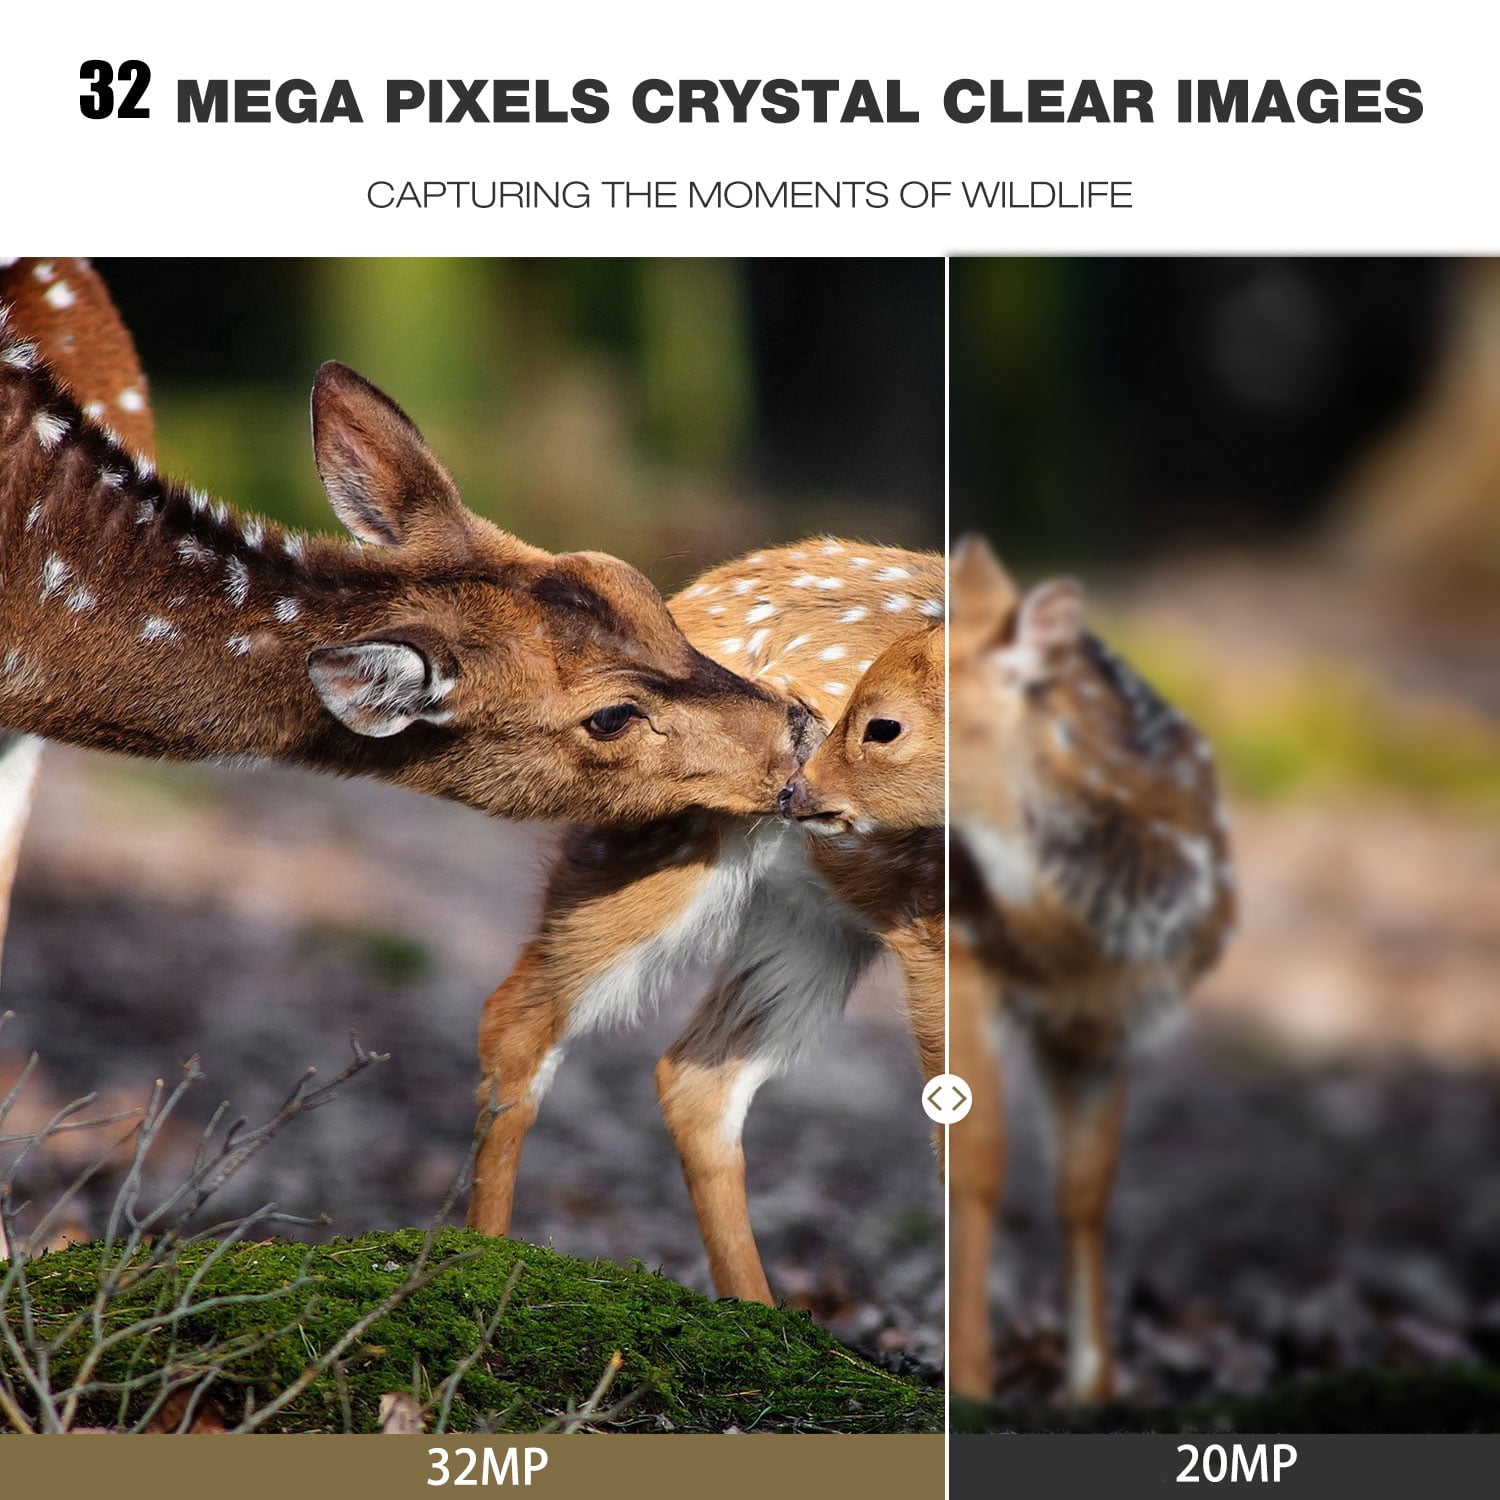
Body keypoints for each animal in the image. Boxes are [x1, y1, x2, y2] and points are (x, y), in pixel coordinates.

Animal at [946, 535, 1236, 1405]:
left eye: (884, 724)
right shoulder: (959, 957)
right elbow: (980, 1163)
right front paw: (971, 1381)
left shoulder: (1114, 1022)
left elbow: (1086, 1187)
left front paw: (1093, 1386)